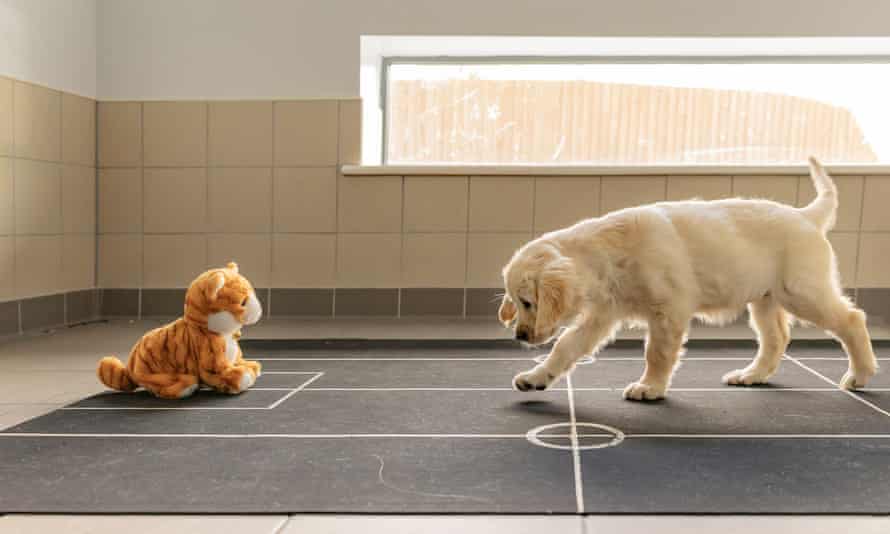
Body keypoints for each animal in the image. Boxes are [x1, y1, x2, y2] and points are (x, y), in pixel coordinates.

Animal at [500, 159, 876, 402]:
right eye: (517, 302)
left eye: (528, 302)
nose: (519, 336)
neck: (609, 252)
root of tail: (806, 216)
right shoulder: (602, 314)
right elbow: (565, 346)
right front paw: (536, 378)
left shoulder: (668, 310)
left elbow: (657, 352)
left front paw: (650, 387)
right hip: (765, 298)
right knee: (776, 338)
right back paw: (751, 375)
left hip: (801, 291)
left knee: (852, 319)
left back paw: (860, 374)